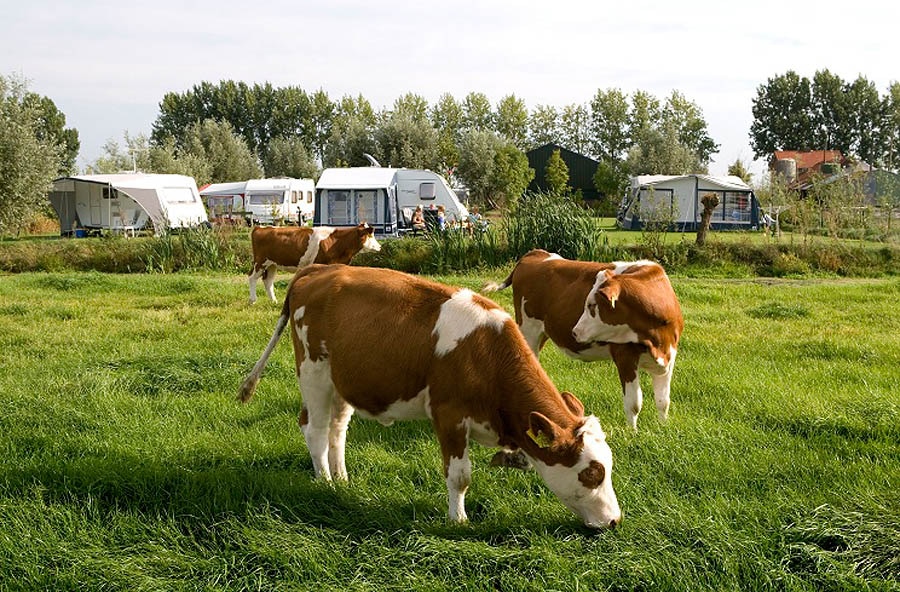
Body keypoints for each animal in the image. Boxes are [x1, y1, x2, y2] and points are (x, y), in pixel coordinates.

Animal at [236, 264, 624, 528]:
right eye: (592, 473)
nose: (615, 520)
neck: (485, 351)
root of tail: (320, 270)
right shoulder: (449, 415)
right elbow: (460, 476)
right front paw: (458, 521)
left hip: (343, 379)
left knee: (337, 429)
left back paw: (342, 478)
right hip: (313, 371)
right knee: (314, 428)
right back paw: (326, 483)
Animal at [246, 224, 380, 302]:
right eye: (370, 235)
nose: (380, 246)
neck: (336, 241)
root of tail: (260, 227)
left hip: (272, 264)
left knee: (268, 280)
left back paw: (273, 301)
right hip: (260, 261)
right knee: (252, 277)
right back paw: (253, 300)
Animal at [486, 247, 684, 432]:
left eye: (592, 305)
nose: (575, 332)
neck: (656, 340)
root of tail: (536, 253)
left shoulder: (670, 356)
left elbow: (663, 400)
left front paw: (662, 427)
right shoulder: (625, 357)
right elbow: (634, 403)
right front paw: (632, 434)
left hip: (541, 333)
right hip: (528, 330)